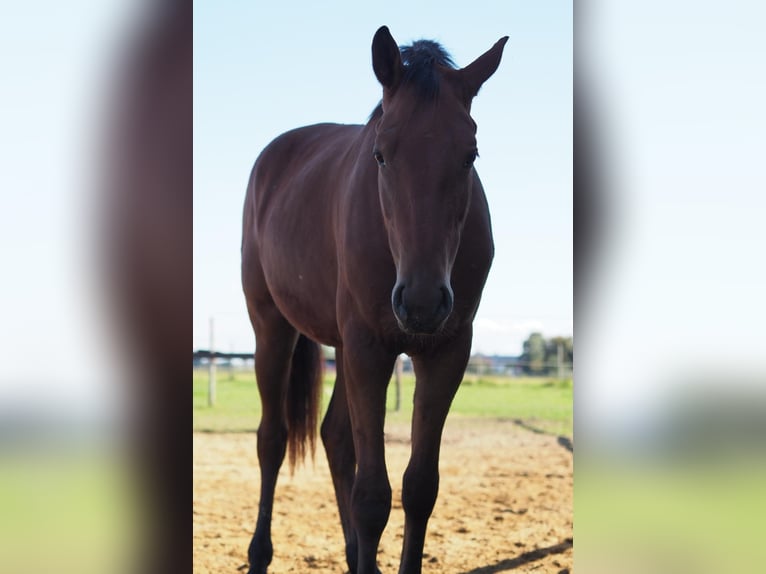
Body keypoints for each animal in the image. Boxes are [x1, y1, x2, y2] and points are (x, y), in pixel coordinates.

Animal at [243, 24, 508, 572]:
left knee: (335, 439)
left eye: (469, 154)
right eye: (382, 154)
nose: (423, 302)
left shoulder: (446, 352)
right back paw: (259, 554)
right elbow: (371, 497)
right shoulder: (369, 347)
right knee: (272, 440)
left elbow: (419, 488)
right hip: (273, 328)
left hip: (344, 348)